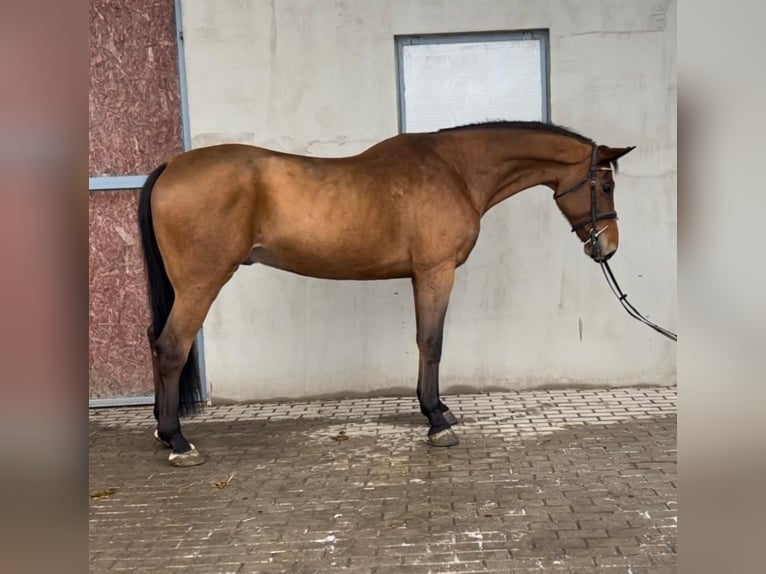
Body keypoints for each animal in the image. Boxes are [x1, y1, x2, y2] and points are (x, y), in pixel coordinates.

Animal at [136, 121, 636, 468]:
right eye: (606, 184)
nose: (608, 247)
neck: (455, 171)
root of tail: (171, 167)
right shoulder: (436, 272)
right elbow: (431, 342)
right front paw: (437, 422)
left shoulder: (420, 275)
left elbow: (424, 341)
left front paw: (439, 410)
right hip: (201, 283)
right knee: (172, 347)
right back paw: (179, 442)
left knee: (155, 341)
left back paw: (163, 433)